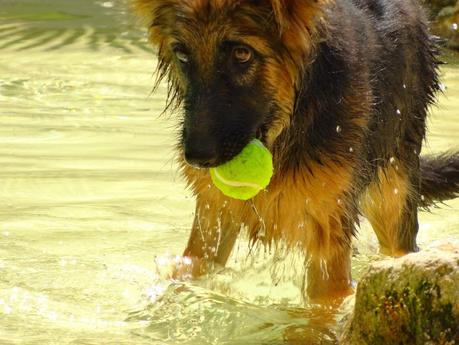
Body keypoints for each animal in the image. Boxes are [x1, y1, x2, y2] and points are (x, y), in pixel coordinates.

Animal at [131, 0, 458, 300]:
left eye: (242, 54)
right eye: (182, 54)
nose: (197, 158)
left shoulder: (327, 235)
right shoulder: (213, 216)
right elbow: (188, 271)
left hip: (392, 190)